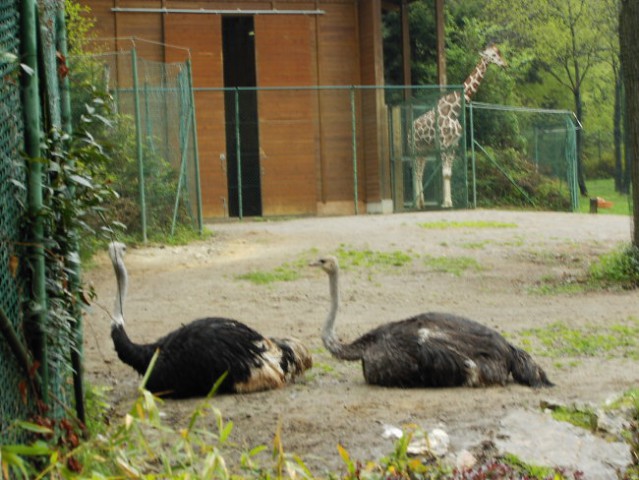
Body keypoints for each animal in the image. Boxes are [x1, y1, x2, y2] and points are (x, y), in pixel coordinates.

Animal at [412, 44, 508, 208]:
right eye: (493, 55)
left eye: (499, 53)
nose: (505, 64)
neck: (454, 111)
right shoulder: (444, 144)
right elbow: (444, 172)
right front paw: (445, 203)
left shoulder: (453, 145)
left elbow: (448, 174)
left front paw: (449, 202)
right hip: (415, 148)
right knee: (415, 171)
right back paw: (416, 203)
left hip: (425, 149)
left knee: (420, 171)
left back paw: (421, 203)